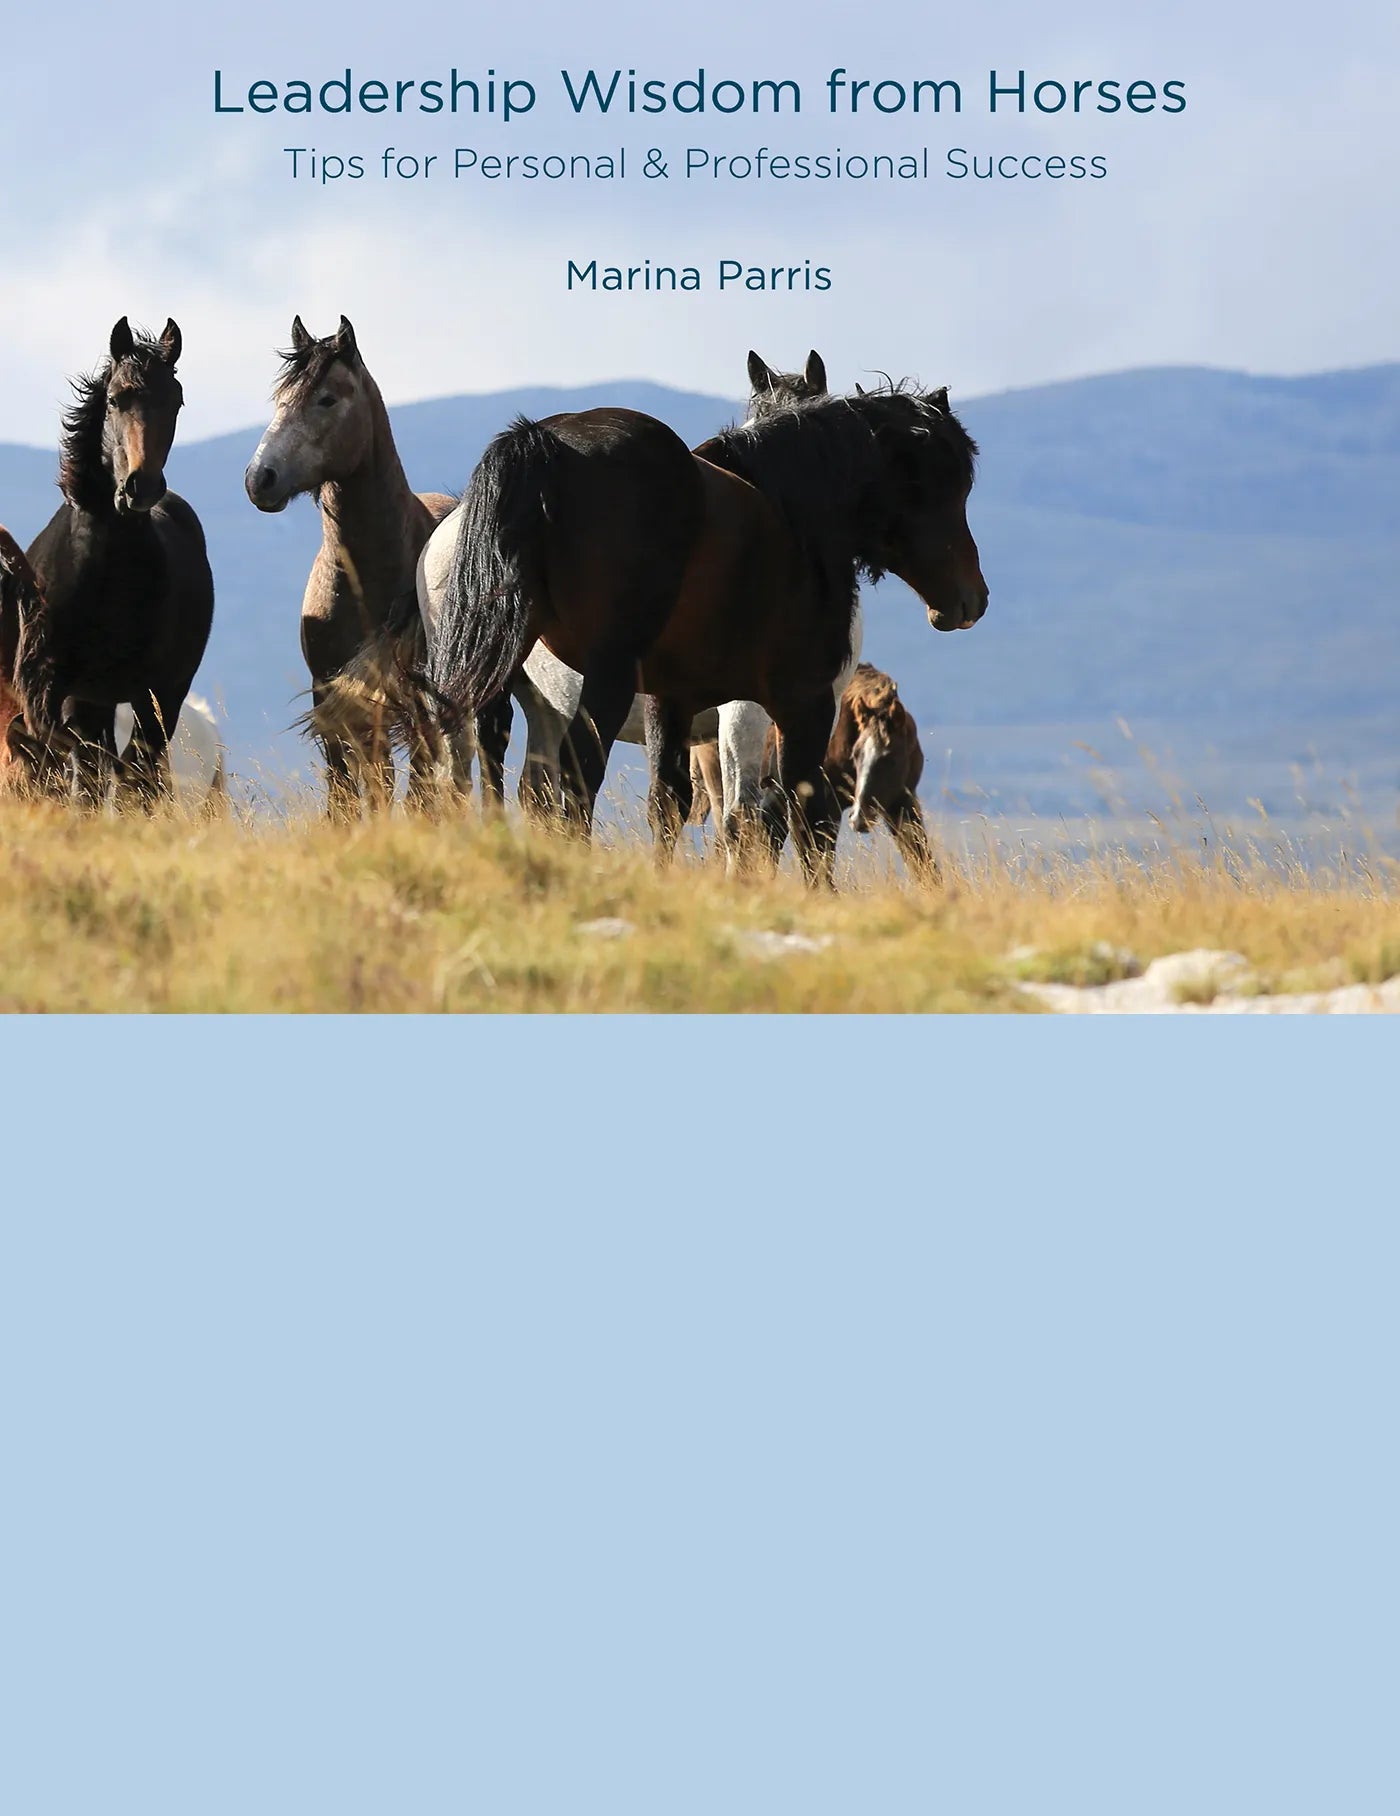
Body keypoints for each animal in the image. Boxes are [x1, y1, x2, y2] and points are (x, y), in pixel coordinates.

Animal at [9, 319, 213, 805]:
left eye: (175, 400)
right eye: (116, 398)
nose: (142, 487)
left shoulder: (152, 691)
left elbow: (131, 777)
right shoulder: (57, 695)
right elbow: (71, 774)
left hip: (153, 697)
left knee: (137, 772)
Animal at [244, 315, 501, 817]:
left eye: (326, 398)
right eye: (280, 399)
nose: (259, 478)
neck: (364, 580)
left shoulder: (415, 700)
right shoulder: (332, 695)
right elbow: (347, 792)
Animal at [427, 382, 987, 881]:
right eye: (950, 485)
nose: (972, 600)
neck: (794, 518)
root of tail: (541, 443)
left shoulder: (671, 699)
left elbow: (672, 805)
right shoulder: (796, 706)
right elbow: (803, 820)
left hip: (516, 686)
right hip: (602, 680)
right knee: (572, 778)